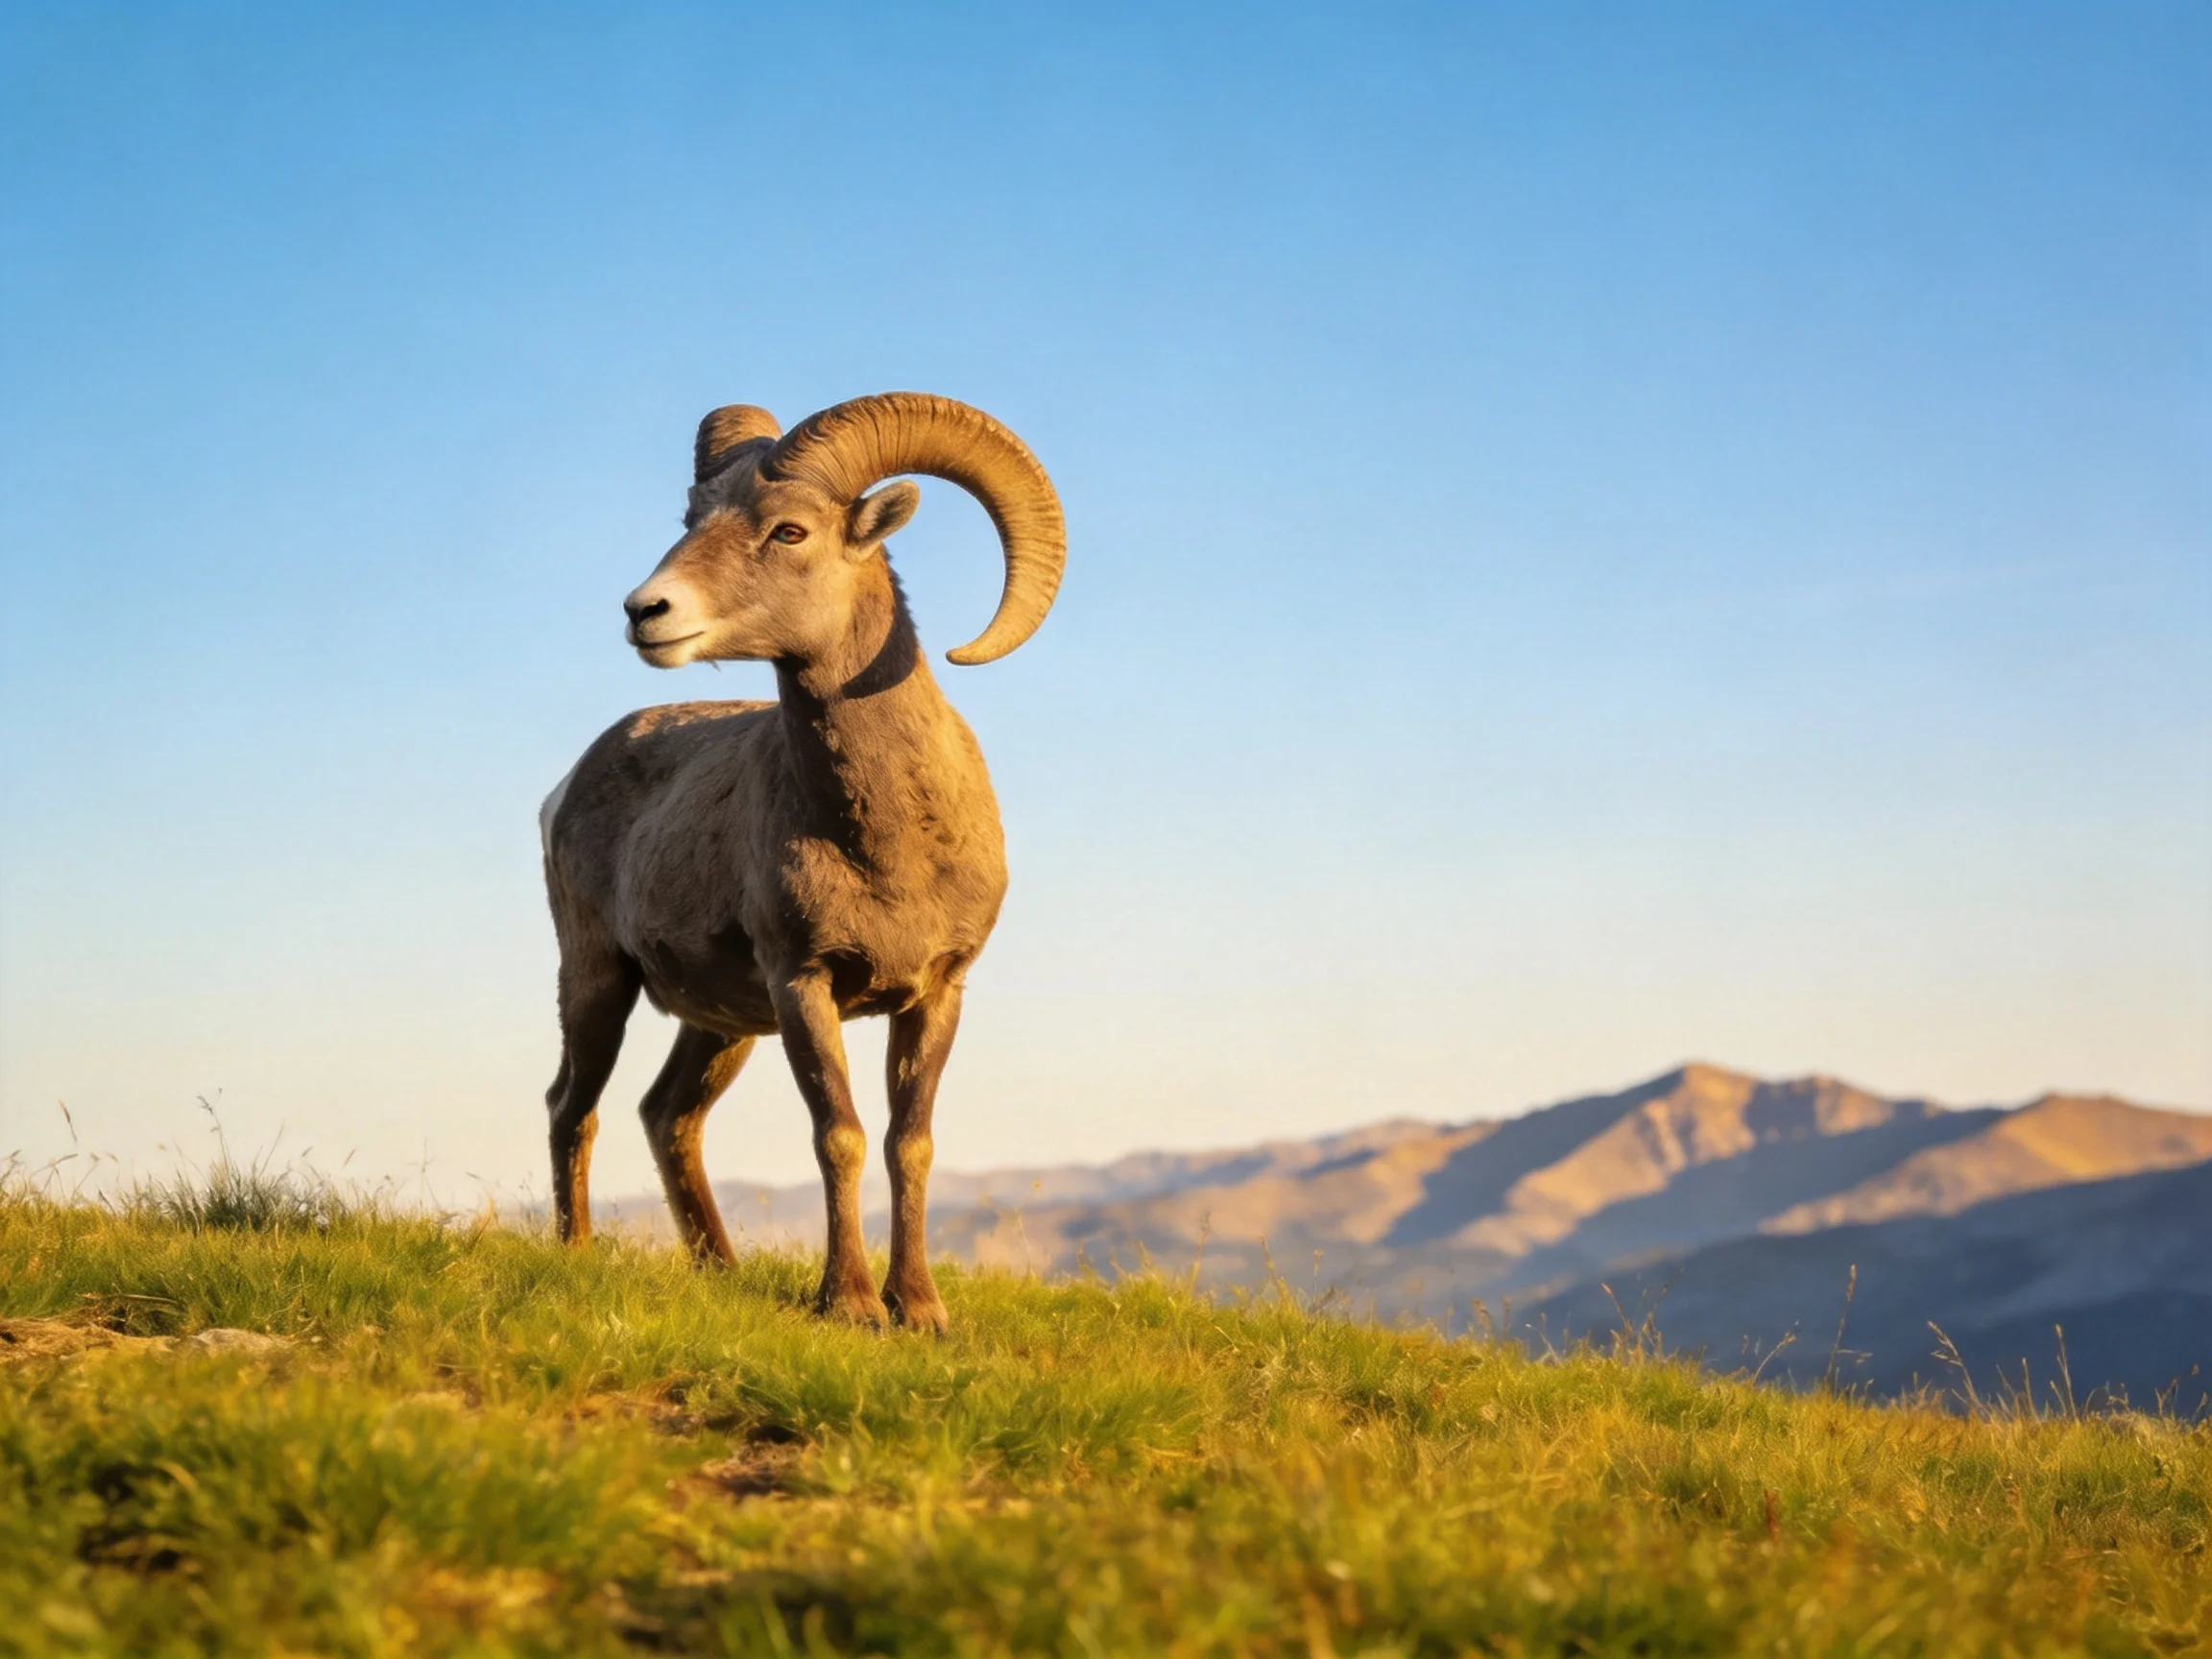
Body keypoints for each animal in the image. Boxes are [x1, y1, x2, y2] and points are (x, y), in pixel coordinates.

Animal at [538, 392, 1065, 1330]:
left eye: (789, 531)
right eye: (692, 520)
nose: (647, 611)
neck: (886, 845)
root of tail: (567, 785)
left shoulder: (936, 994)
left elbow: (909, 1142)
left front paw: (919, 1310)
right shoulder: (802, 985)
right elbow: (841, 1135)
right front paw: (850, 1304)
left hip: (719, 1026)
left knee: (665, 1115)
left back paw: (721, 1271)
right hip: (598, 980)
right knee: (574, 1106)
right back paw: (577, 1254)